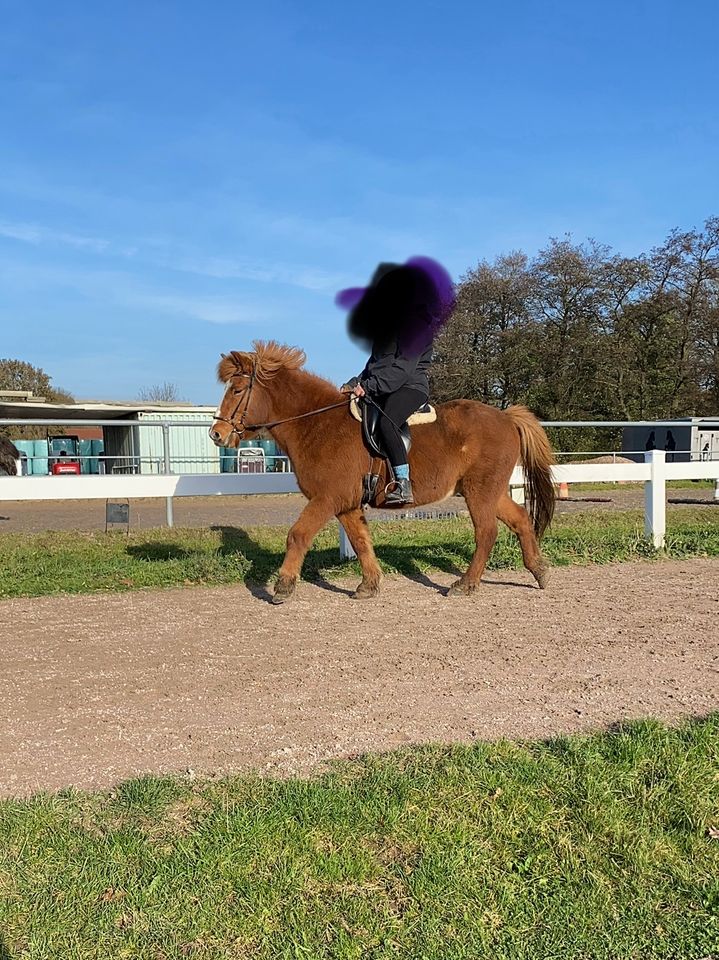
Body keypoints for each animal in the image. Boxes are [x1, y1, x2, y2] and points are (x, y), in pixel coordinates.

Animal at [208, 342, 556, 604]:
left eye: (237, 390)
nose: (216, 434)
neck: (317, 424)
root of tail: (506, 417)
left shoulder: (327, 497)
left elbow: (298, 534)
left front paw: (283, 587)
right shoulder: (346, 503)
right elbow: (361, 541)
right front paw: (369, 585)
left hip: (479, 491)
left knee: (486, 532)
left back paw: (466, 584)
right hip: (487, 490)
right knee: (520, 520)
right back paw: (539, 570)